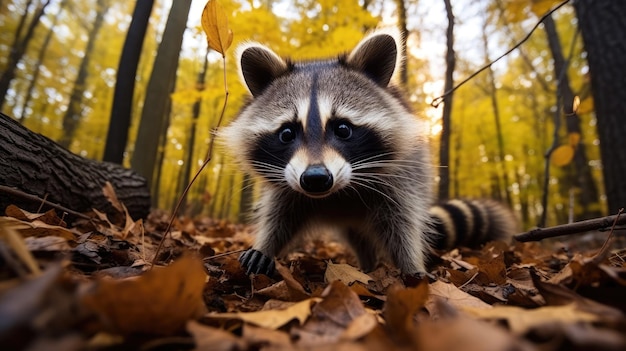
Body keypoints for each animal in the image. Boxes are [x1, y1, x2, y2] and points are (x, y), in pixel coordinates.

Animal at [221, 28, 516, 276]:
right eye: (286, 133)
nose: (316, 179)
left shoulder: (401, 180)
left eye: (343, 129)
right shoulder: (287, 181)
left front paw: (411, 266)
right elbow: (280, 216)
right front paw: (265, 247)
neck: (337, 194)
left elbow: (402, 224)